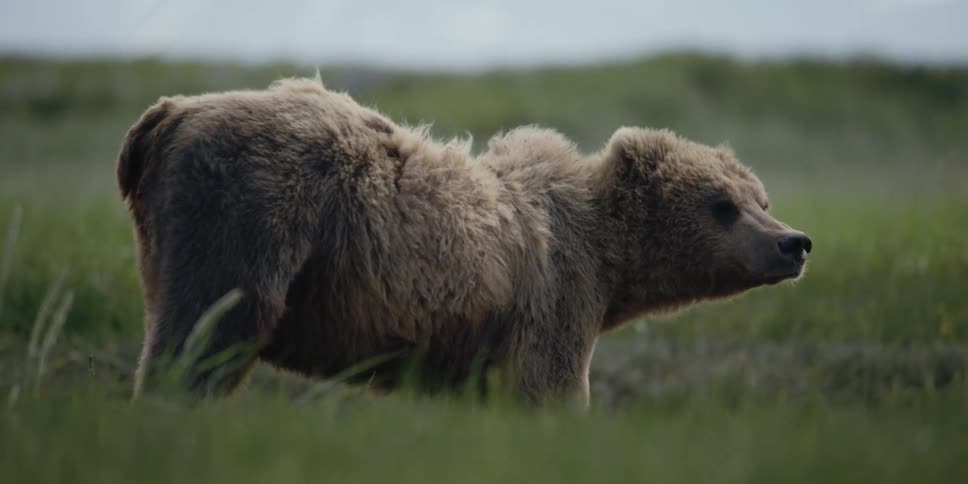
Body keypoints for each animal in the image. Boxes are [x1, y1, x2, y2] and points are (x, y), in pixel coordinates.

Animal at [117, 78, 812, 406]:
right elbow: (548, 388)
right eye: (721, 206)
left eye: (761, 198)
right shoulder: (553, 298)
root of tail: (166, 113)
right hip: (253, 210)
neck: (612, 267)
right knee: (211, 327)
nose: (795, 243)